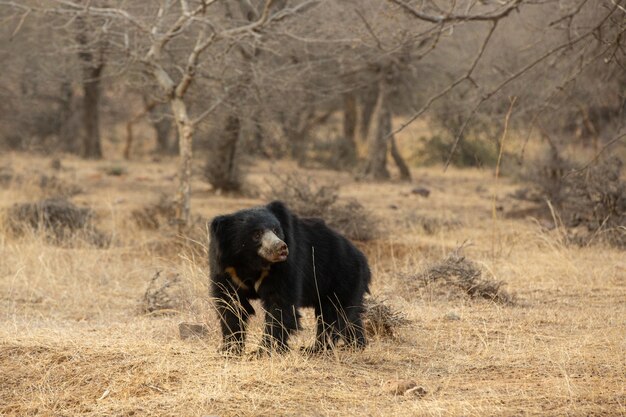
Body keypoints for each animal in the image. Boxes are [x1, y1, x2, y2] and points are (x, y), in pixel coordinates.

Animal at [208, 200, 370, 352]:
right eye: (256, 234)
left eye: (276, 230)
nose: (281, 248)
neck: (252, 263)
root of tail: (362, 259)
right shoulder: (227, 270)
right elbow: (231, 305)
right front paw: (229, 349)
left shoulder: (285, 268)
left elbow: (280, 305)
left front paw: (265, 350)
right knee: (349, 317)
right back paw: (355, 344)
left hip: (341, 279)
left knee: (333, 314)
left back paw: (316, 349)